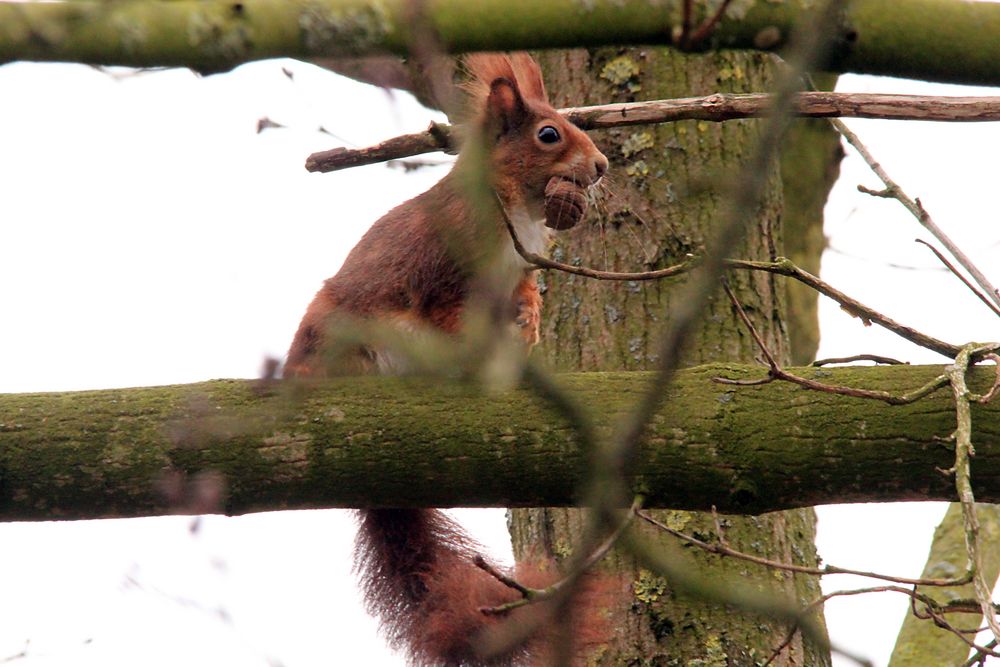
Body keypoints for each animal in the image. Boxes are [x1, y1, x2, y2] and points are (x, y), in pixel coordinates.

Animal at [284, 53, 608, 667]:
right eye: (548, 134)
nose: (602, 166)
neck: (514, 208)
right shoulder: (444, 274)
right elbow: (448, 316)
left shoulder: (517, 269)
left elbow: (523, 294)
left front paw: (530, 320)